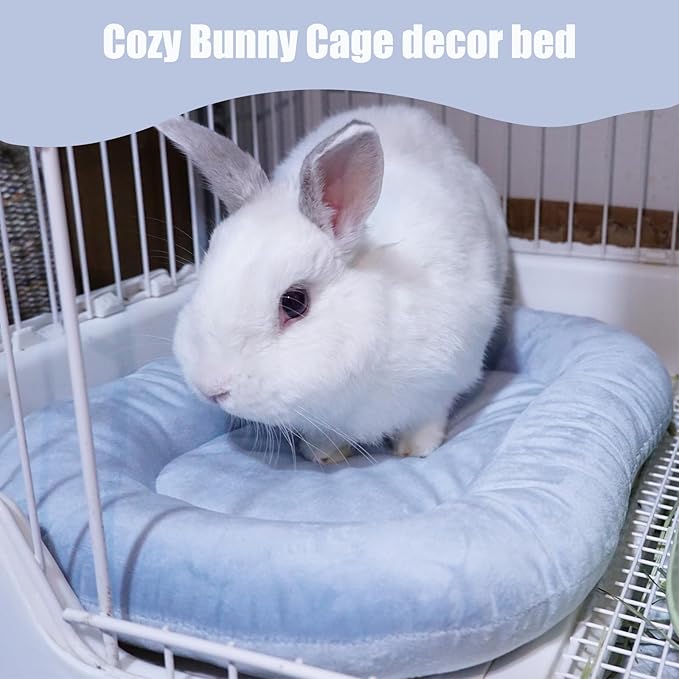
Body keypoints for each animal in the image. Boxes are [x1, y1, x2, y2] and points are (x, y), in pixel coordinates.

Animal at [158, 104, 508, 464]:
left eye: (295, 303)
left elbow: (427, 419)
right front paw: (323, 455)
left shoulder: (441, 384)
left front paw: (416, 451)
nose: (211, 389)